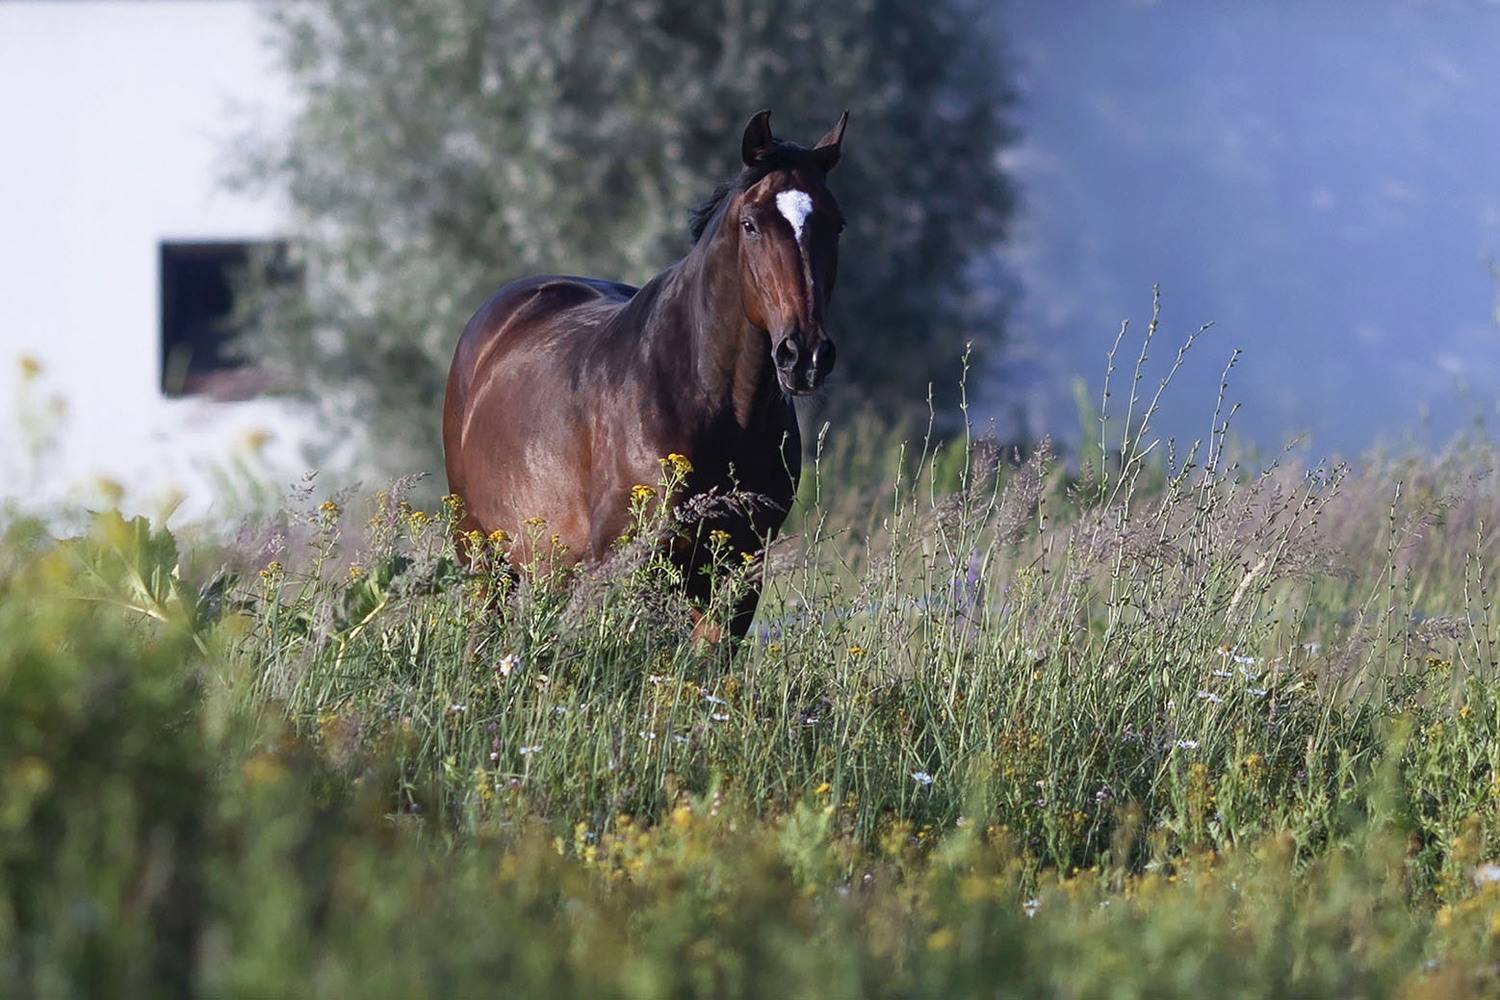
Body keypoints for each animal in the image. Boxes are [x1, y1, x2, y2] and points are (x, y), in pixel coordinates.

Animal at [442, 109, 847, 639]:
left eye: (836, 226)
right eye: (751, 224)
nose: (804, 356)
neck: (706, 401)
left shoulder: (736, 574)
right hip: (484, 563)